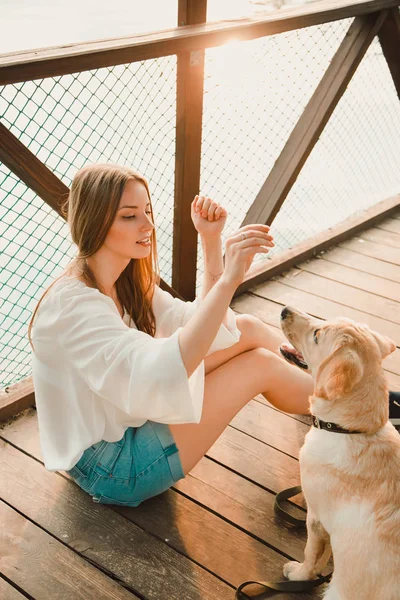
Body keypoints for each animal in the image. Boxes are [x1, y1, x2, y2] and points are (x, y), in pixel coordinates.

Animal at [280, 308, 398, 596]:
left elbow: (312, 554)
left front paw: (299, 575)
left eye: (316, 334)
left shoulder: (317, 518)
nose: (285, 310)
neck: (351, 430)